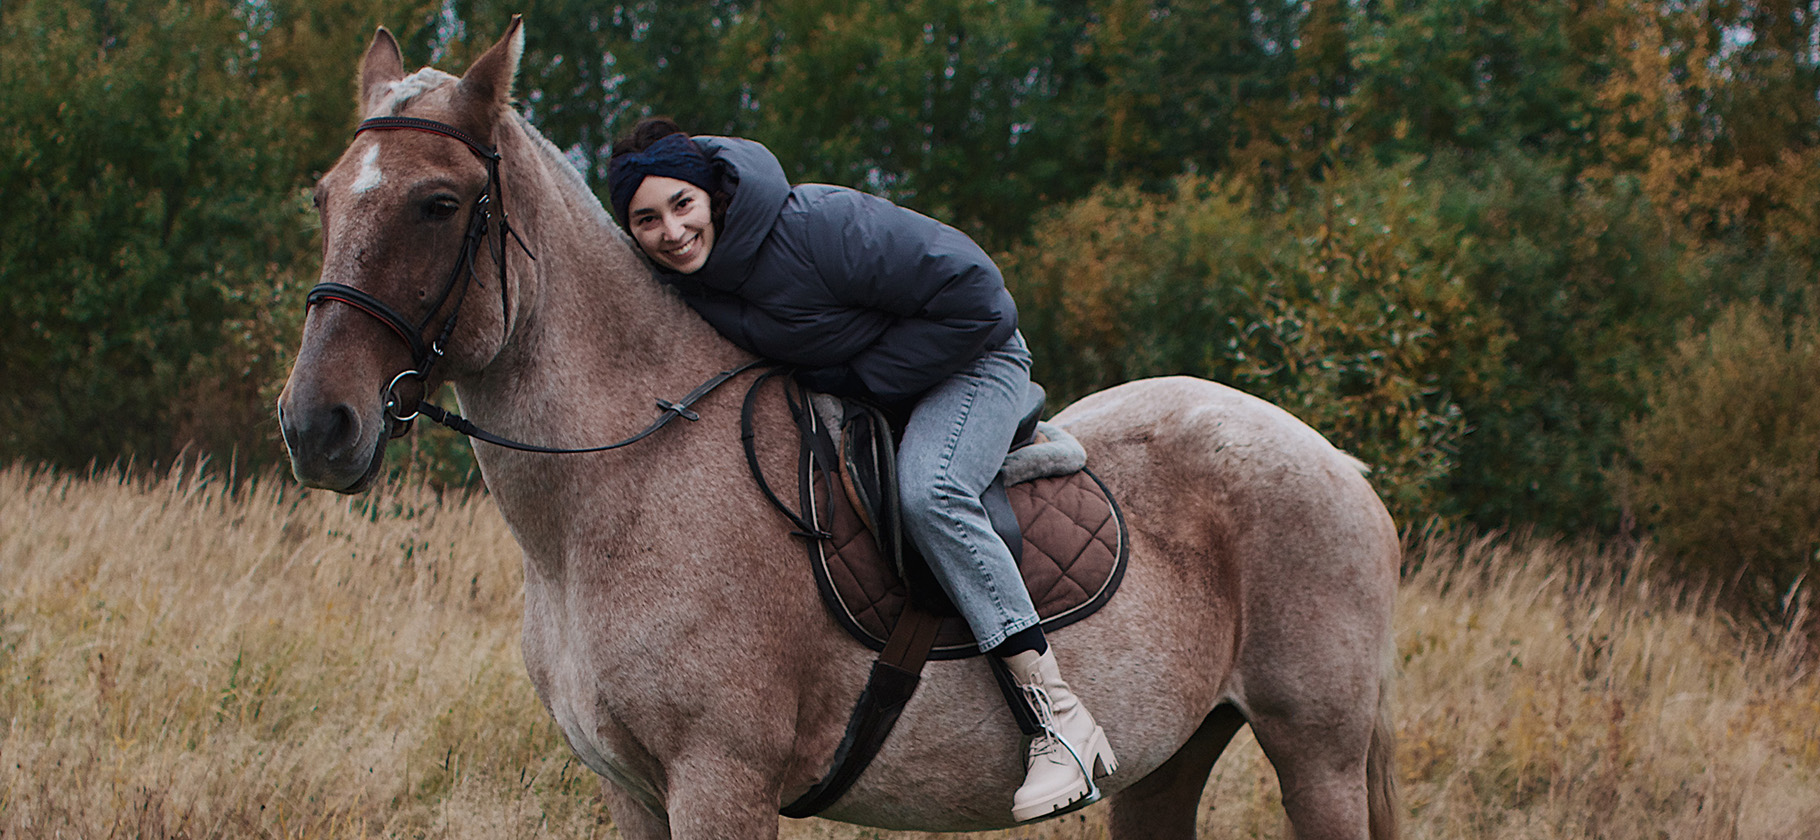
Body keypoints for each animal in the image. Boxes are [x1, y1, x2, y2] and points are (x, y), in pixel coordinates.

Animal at [273, 19, 1405, 840]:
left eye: (436, 203)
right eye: (324, 196)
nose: (315, 425)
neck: (626, 486)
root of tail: (1334, 463)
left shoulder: (718, 784)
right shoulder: (631, 792)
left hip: (1316, 753)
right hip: (1172, 763)